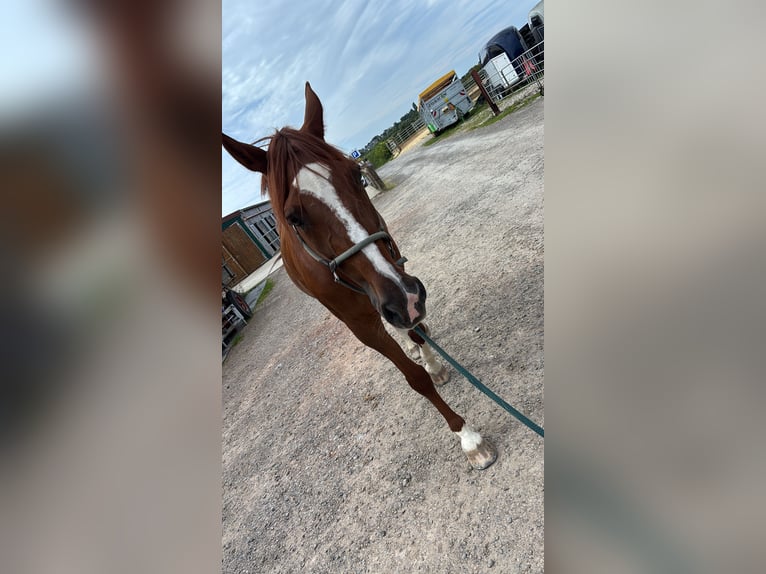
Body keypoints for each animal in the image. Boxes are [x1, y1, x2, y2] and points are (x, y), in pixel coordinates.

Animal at [222, 82, 497, 470]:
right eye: (293, 217)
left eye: (356, 174)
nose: (404, 300)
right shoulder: (362, 323)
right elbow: (415, 380)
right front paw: (467, 436)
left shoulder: (396, 276)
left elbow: (418, 333)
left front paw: (432, 363)